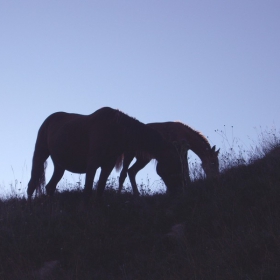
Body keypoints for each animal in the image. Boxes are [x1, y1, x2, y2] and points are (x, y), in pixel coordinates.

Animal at [26, 106, 184, 201]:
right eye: (173, 167)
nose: (178, 192)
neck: (115, 129)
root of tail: (49, 119)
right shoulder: (92, 164)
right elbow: (88, 189)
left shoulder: (108, 165)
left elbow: (100, 189)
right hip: (40, 154)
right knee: (32, 184)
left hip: (60, 165)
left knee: (50, 187)